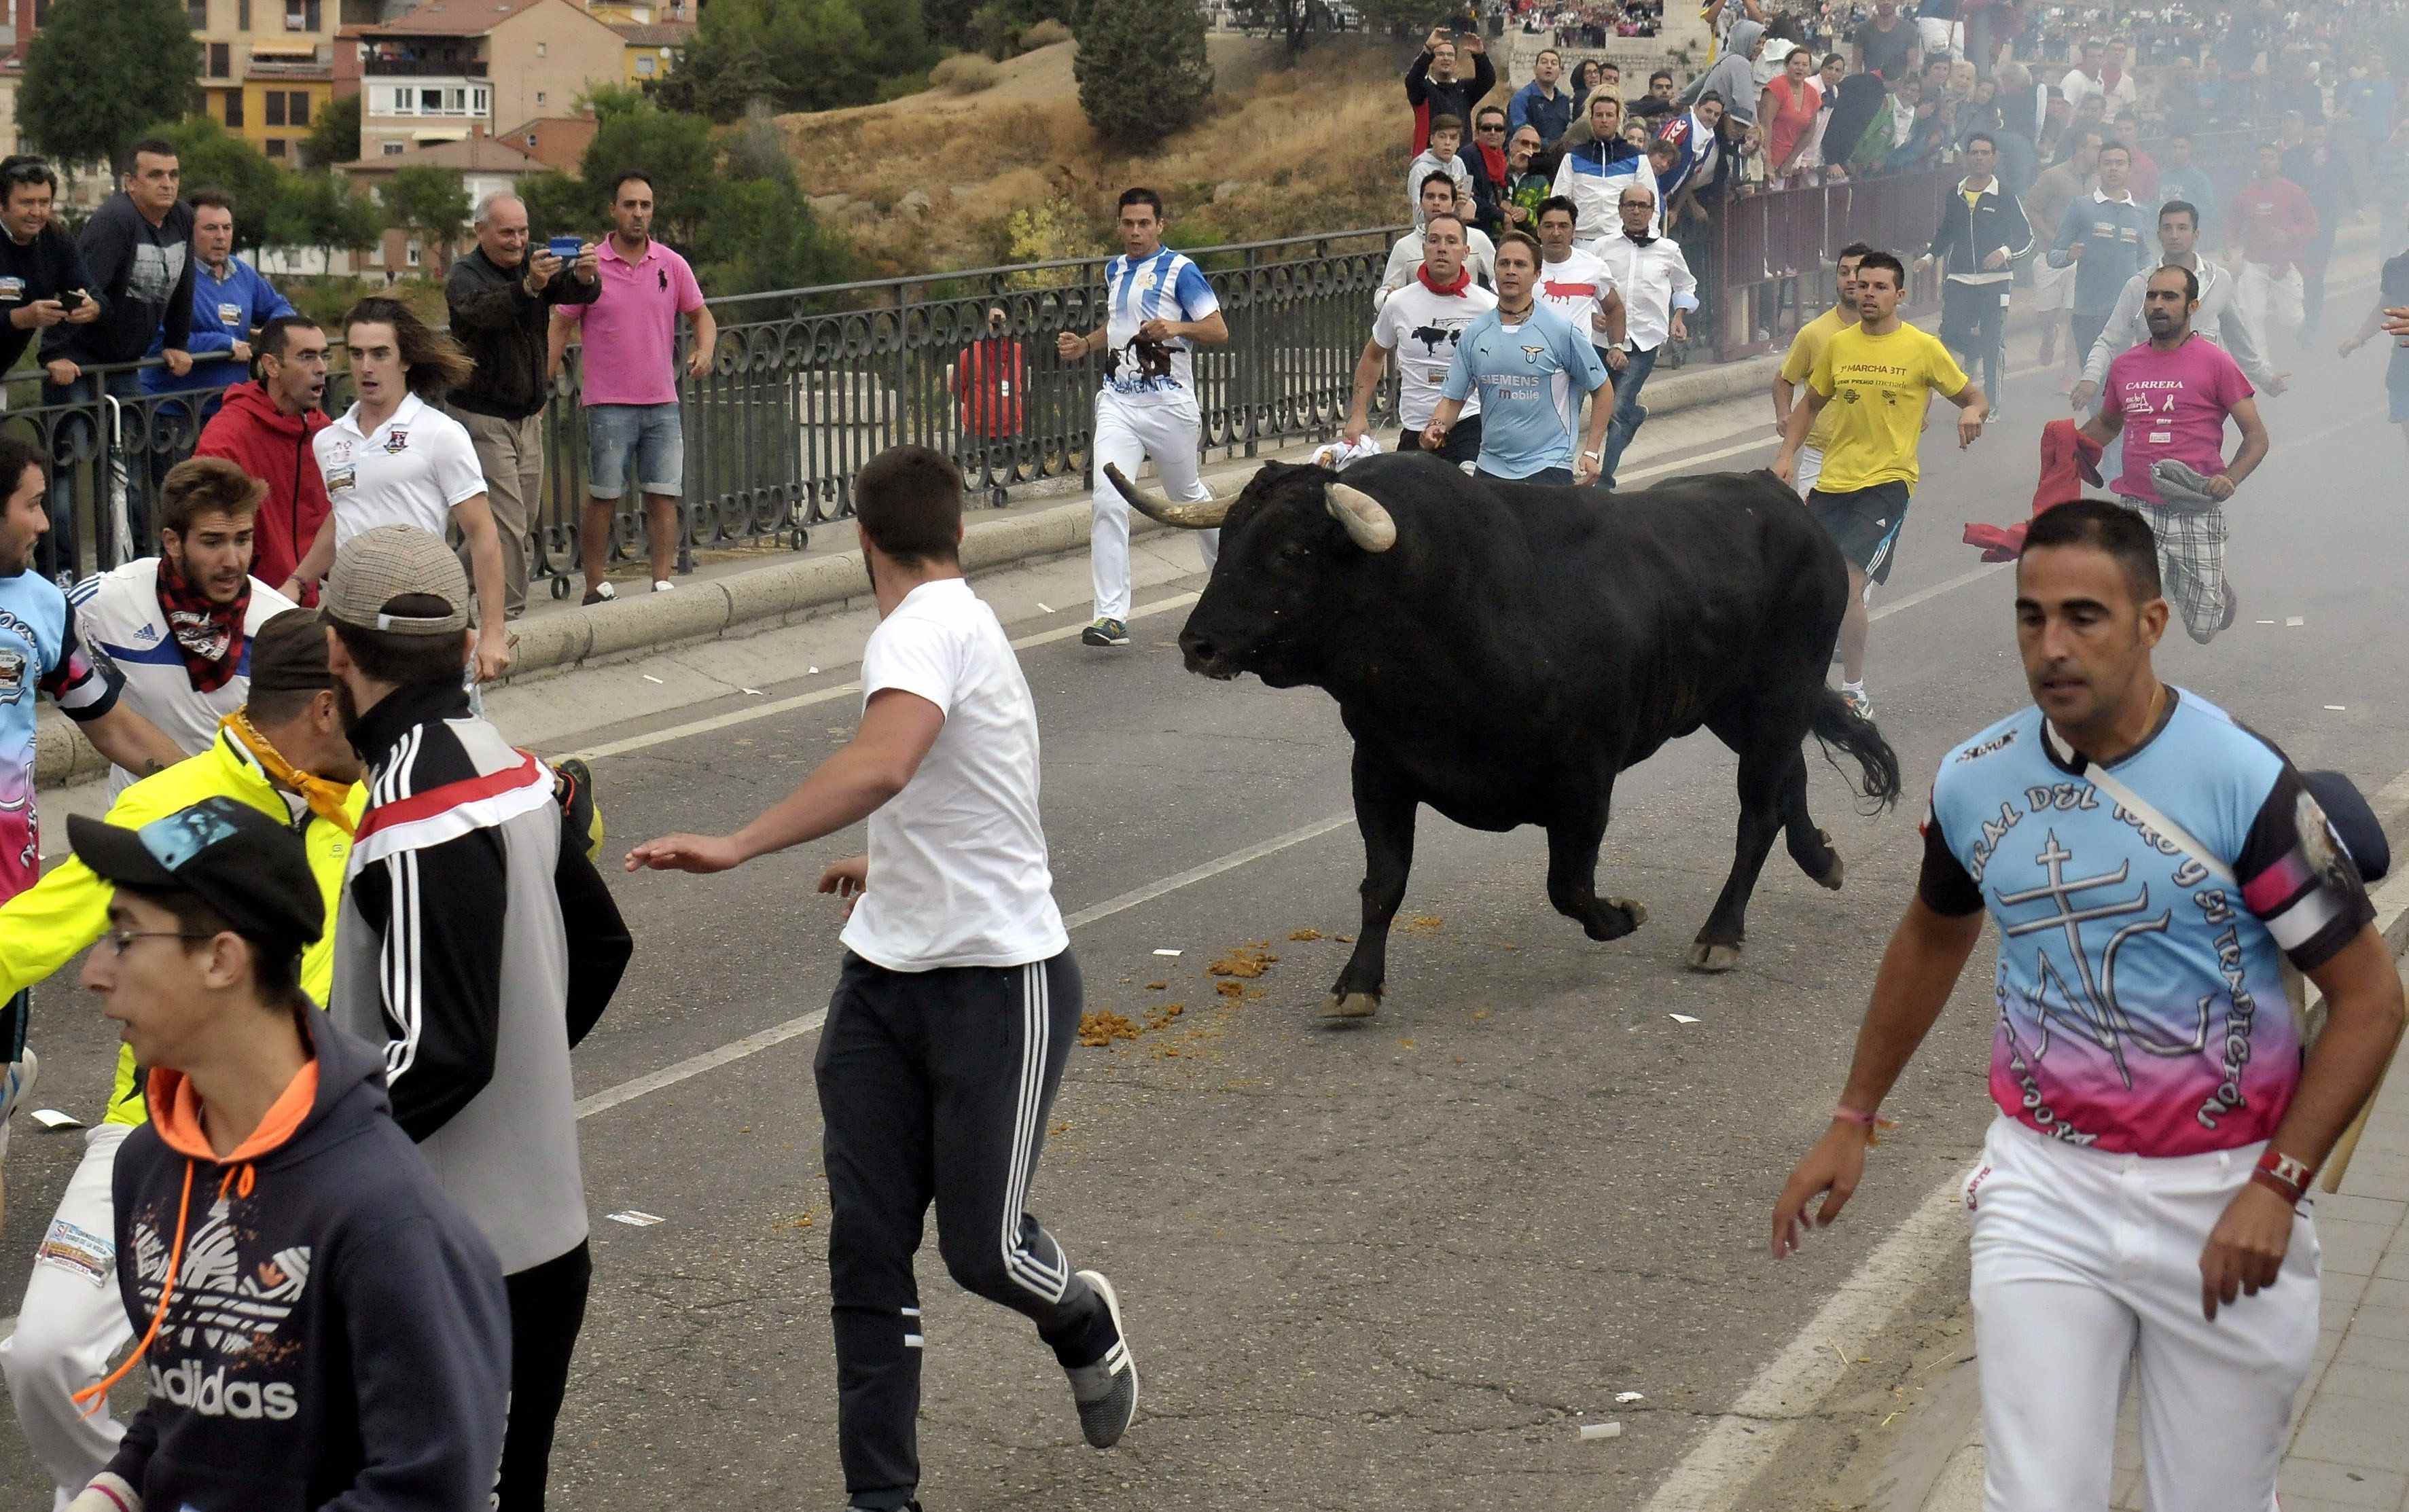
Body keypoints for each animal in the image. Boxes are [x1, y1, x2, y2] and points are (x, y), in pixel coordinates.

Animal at [1103, 448, 1898, 1015]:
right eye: (1229, 536)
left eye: (1293, 551)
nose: (1199, 644)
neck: (1451, 613)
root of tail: (1780, 500)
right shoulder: (1380, 771)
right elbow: (1383, 883)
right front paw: (1356, 983)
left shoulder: (1585, 785)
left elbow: (1569, 888)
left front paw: (1623, 915)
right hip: (1733, 707)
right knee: (1790, 779)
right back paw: (1822, 859)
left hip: (1779, 693)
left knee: (1757, 811)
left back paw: (1720, 935)